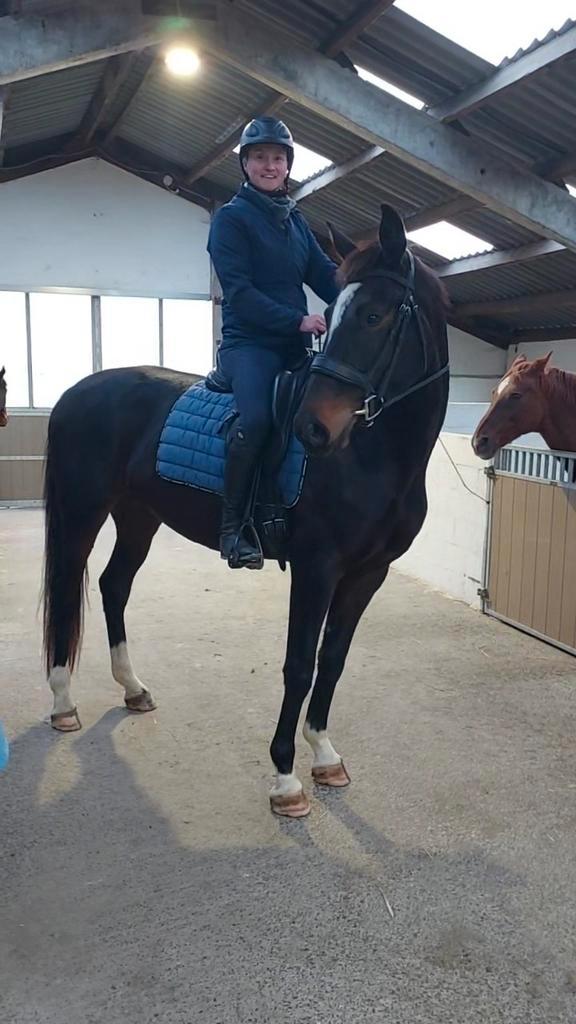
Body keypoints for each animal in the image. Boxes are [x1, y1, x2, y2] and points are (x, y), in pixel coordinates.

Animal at [42, 204, 449, 817]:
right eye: (334, 314)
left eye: (375, 315)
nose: (312, 430)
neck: (370, 456)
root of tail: (74, 392)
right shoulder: (317, 568)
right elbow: (299, 664)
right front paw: (286, 777)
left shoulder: (367, 575)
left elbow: (333, 661)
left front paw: (325, 755)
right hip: (82, 512)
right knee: (70, 589)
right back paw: (64, 703)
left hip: (138, 515)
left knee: (114, 585)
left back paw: (133, 689)